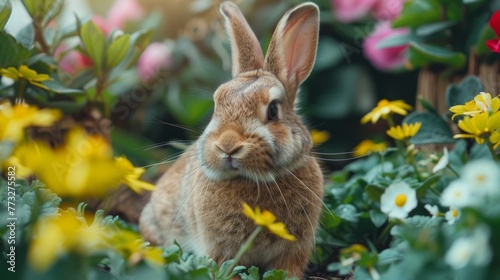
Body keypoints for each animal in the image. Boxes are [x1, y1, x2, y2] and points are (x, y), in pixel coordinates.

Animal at [139, 1, 322, 278]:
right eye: (217, 105)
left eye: (272, 111)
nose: (228, 145)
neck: (252, 180)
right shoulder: (220, 250)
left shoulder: (294, 251)